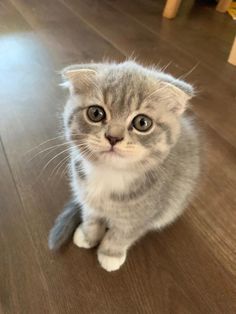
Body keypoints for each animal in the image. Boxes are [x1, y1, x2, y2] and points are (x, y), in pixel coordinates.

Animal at [48, 61, 200, 272]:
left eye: (142, 123)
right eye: (95, 113)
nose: (113, 137)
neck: (109, 174)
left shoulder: (140, 216)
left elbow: (121, 235)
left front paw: (110, 253)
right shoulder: (86, 198)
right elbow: (91, 218)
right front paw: (88, 235)